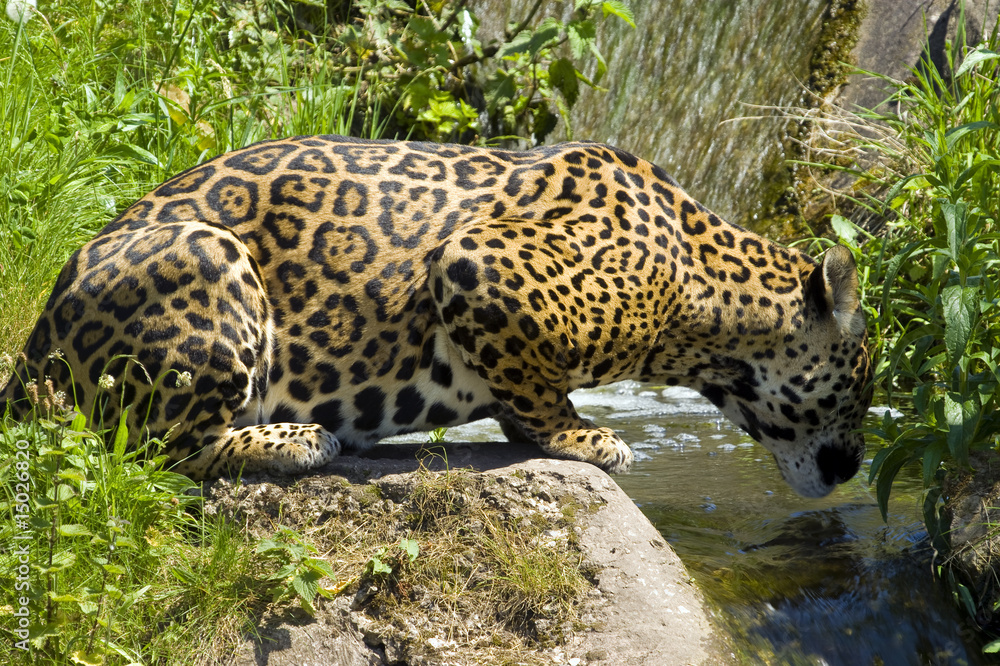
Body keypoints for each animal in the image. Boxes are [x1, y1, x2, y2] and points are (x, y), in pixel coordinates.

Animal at [0, 135, 872, 498]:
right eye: (861, 391)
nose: (853, 469)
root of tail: (34, 348)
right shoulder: (473, 263)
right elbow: (539, 392)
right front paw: (587, 439)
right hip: (207, 258)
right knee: (149, 447)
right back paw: (296, 439)